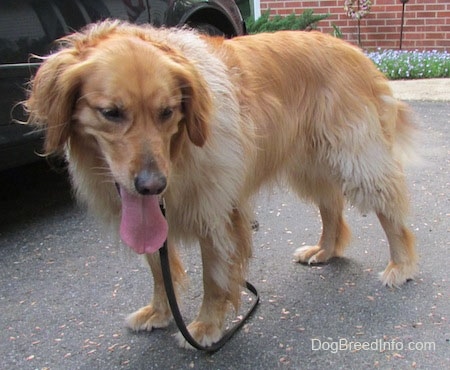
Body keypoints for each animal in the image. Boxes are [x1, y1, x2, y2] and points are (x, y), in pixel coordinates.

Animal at [24, 20, 418, 348]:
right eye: (111, 113)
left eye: (167, 112)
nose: (153, 185)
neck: (179, 151)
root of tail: (355, 50)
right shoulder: (148, 212)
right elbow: (158, 269)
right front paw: (160, 312)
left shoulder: (216, 210)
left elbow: (213, 278)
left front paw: (205, 327)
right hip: (309, 162)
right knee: (331, 203)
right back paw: (325, 249)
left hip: (355, 157)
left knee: (389, 210)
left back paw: (400, 265)